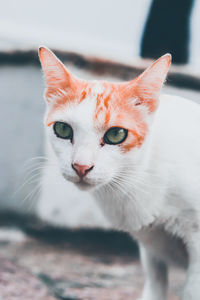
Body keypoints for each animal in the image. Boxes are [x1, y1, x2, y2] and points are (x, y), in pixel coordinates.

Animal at [38, 47, 200, 300]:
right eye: (62, 129)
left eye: (116, 135)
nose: (81, 166)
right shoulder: (151, 248)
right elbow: (155, 284)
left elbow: (192, 290)